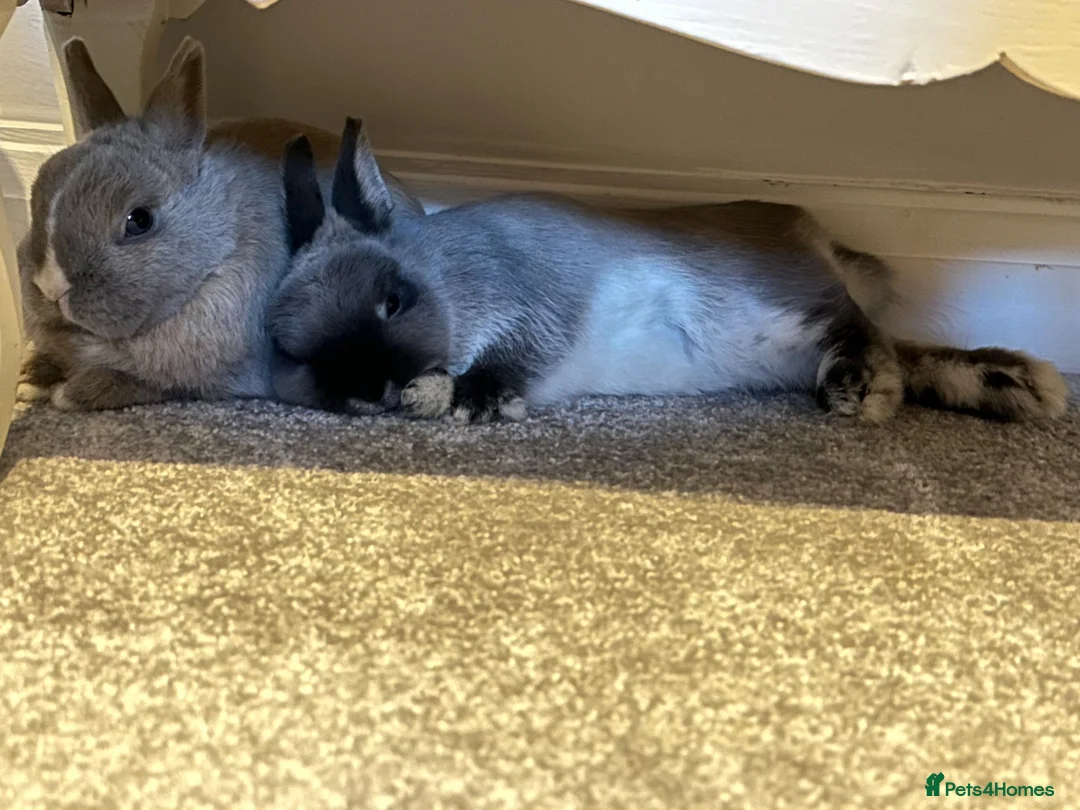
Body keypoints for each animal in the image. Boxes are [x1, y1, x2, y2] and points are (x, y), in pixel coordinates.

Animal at [16, 36, 424, 412]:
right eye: (35, 201)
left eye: (139, 220)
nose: (50, 287)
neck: (215, 260)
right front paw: (31, 381)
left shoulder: (210, 381)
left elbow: (137, 384)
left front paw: (67, 393)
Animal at [268, 117, 1070, 424]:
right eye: (293, 351)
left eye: (392, 301)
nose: (367, 390)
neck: (452, 275)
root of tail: (810, 233)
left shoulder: (538, 304)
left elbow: (513, 363)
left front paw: (465, 400)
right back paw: (1012, 386)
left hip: (782, 300)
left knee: (860, 327)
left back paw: (860, 394)